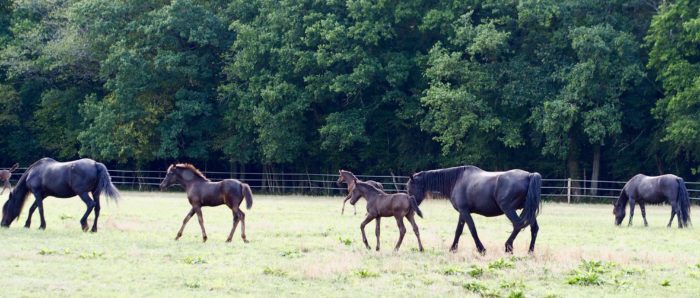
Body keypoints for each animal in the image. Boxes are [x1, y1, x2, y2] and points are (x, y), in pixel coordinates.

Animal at [404, 165, 540, 254]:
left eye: (410, 189)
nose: (411, 207)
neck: (456, 180)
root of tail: (529, 175)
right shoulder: (462, 212)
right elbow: (458, 231)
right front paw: (453, 249)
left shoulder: (464, 211)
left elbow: (472, 229)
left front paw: (481, 249)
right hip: (529, 211)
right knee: (534, 229)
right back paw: (530, 251)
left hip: (509, 209)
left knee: (518, 224)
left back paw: (508, 246)